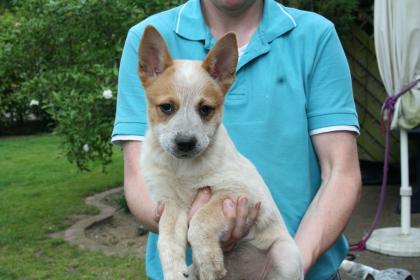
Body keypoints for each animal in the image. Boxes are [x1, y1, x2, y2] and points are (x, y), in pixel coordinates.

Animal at [139, 24, 306, 280]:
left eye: (205, 109)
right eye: (166, 107)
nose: (185, 143)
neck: (182, 169)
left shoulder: (237, 192)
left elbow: (200, 220)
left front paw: (209, 262)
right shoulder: (170, 203)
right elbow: (166, 240)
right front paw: (175, 272)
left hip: (285, 257)